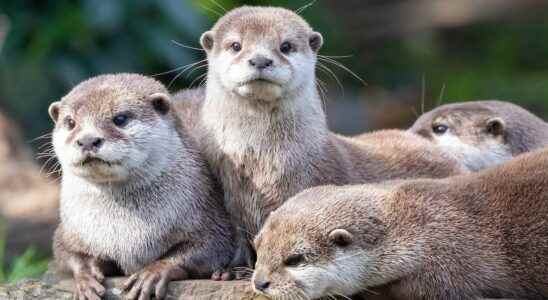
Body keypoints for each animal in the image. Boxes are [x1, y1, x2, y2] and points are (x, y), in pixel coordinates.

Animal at [48, 73, 233, 300]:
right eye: (70, 122)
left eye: (120, 119)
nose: (88, 140)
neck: (126, 230)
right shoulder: (70, 230)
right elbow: (66, 253)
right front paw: (85, 277)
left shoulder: (207, 214)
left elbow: (212, 246)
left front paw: (153, 272)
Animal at [187, 5, 462, 274]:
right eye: (236, 45)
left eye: (286, 46)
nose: (261, 60)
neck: (263, 165)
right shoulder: (229, 194)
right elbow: (238, 233)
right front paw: (232, 268)